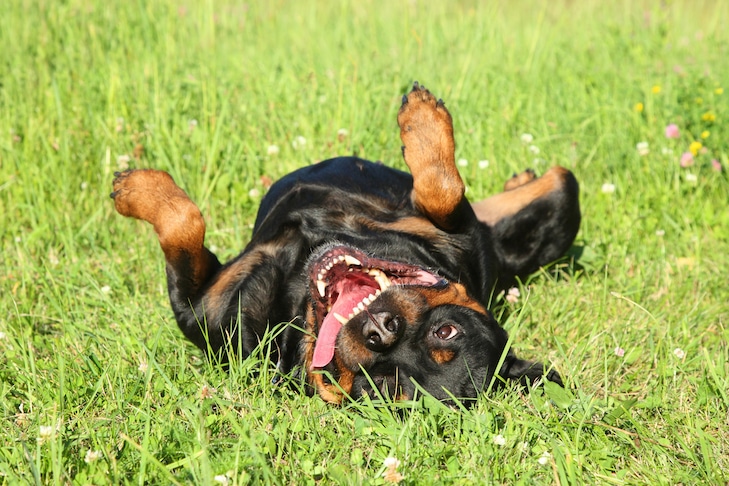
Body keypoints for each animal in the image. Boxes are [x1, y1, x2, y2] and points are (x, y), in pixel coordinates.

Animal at [112, 82, 580, 402]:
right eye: (447, 331)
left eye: (383, 387)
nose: (382, 331)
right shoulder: (462, 230)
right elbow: (444, 190)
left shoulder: (197, 308)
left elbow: (184, 229)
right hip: (541, 211)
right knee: (561, 183)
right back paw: (518, 178)